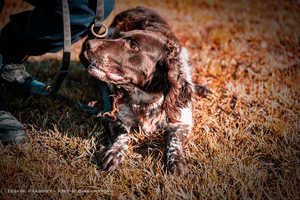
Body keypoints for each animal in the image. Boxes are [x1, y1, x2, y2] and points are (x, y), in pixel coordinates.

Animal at [85, 5, 196, 175]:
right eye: (119, 38)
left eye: (133, 46)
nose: (88, 44)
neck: (146, 99)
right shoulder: (114, 117)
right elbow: (123, 135)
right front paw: (115, 152)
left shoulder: (183, 122)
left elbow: (174, 142)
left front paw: (176, 161)